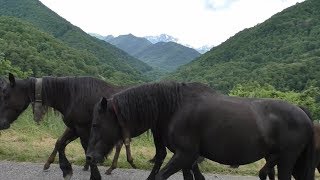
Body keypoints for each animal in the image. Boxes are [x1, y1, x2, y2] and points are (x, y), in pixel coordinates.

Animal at [0, 74, 136, 179]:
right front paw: (63, 168)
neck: (71, 95)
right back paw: (114, 167)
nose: (1, 123)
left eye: (6, 95)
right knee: (120, 144)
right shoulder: (73, 128)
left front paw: (93, 173)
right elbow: (60, 143)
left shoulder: (82, 129)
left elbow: (86, 149)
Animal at [85, 81, 316, 180]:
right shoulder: (188, 160)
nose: (89, 157)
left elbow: (160, 176)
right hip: (278, 159)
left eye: (96, 124)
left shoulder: (185, 156)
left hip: (287, 160)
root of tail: (303, 112)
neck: (176, 107)